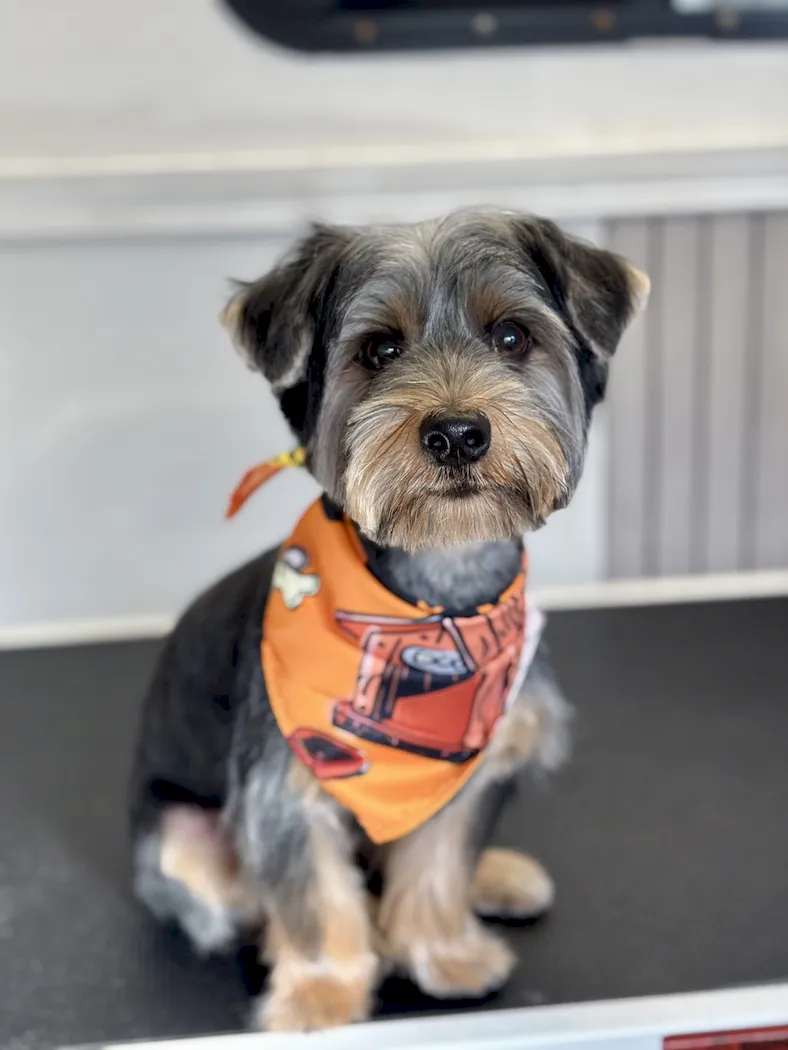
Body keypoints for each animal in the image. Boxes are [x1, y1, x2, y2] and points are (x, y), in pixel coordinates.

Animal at [129, 208, 649, 1031]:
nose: (458, 433)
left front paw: (445, 954)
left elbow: (438, 860)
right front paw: (319, 992)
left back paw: (493, 878)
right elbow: (311, 892)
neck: (440, 589)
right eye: (379, 349)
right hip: (185, 842)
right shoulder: (286, 781)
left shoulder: (476, 752)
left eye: (512, 337)